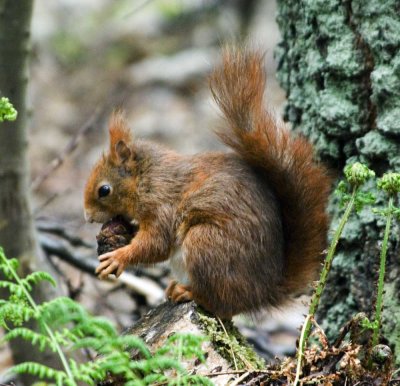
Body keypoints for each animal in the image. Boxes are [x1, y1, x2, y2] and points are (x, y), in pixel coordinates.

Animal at [83, 47, 330, 320]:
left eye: (104, 190)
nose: (87, 216)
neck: (147, 179)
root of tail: (263, 292)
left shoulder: (162, 205)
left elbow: (156, 244)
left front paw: (118, 258)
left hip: (206, 243)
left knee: (220, 303)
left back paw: (188, 292)